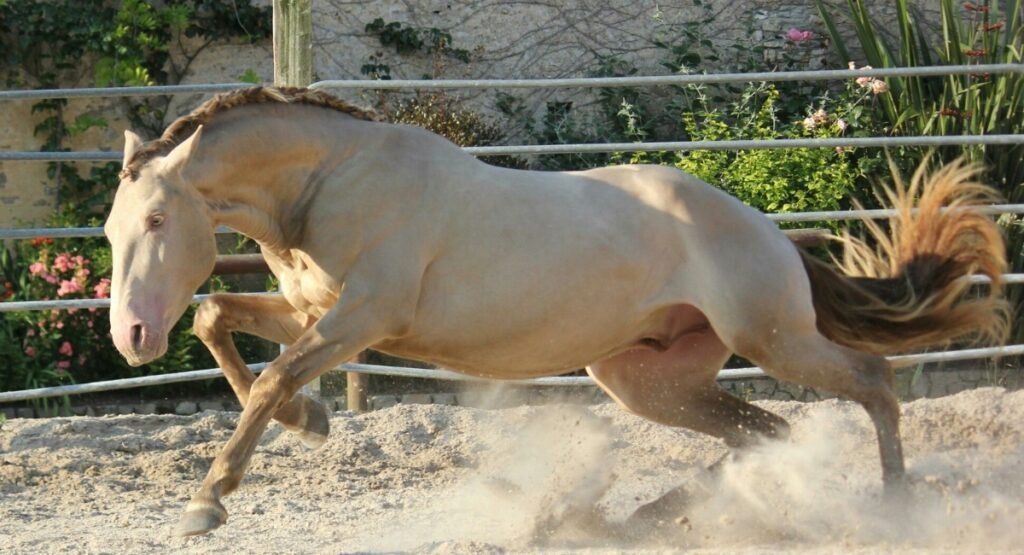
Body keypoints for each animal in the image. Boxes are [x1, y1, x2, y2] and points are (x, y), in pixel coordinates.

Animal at [104, 86, 1008, 537]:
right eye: (111, 229)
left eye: (158, 222)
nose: (132, 336)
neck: (334, 179)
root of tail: (770, 233)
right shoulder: (317, 312)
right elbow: (217, 318)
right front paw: (312, 420)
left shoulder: (364, 321)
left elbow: (267, 377)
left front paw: (208, 500)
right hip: (645, 380)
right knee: (768, 431)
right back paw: (641, 514)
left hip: (774, 338)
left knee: (874, 381)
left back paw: (897, 507)